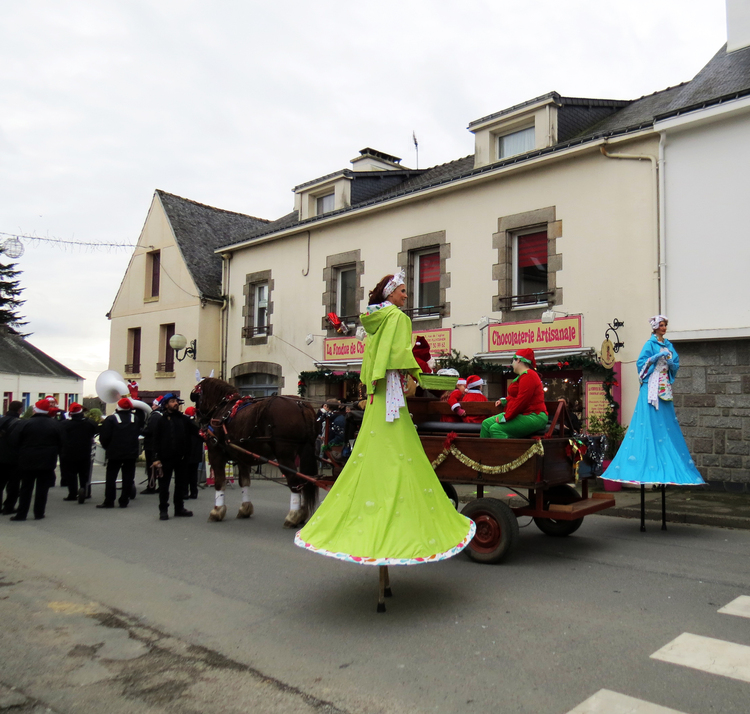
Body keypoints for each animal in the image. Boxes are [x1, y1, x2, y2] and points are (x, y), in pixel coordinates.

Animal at [192, 378, 318, 524]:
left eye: (196, 397)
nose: (197, 420)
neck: (222, 409)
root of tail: (300, 405)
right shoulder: (242, 457)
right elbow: (244, 482)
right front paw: (245, 508)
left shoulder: (215, 454)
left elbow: (219, 483)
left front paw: (217, 511)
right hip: (303, 452)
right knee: (304, 480)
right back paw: (301, 513)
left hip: (284, 456)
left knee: (295, 482)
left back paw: (293, 515)